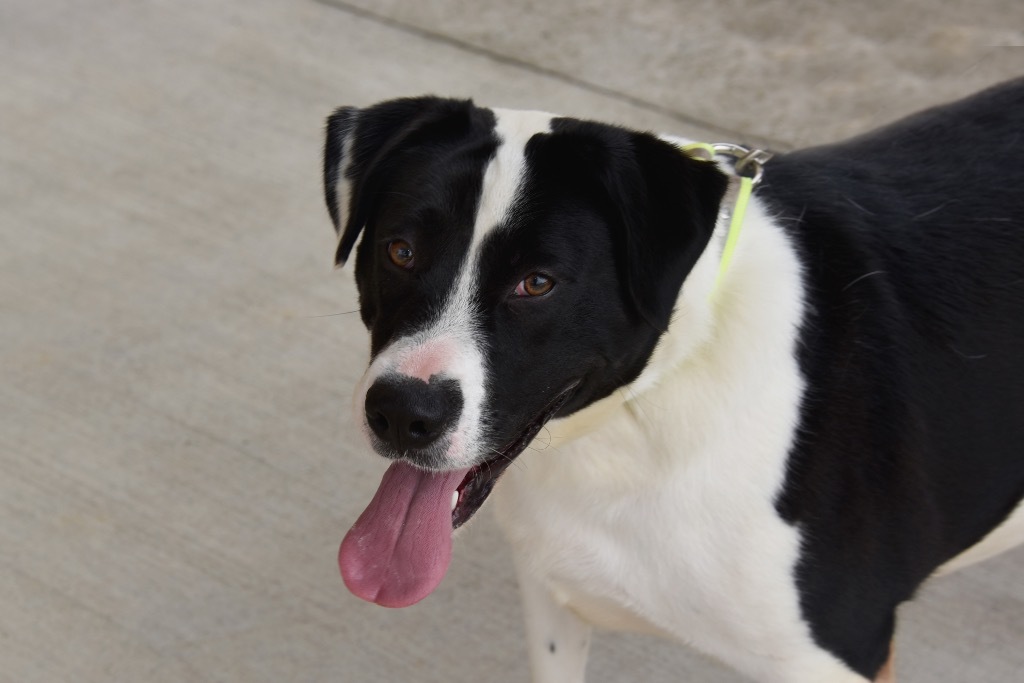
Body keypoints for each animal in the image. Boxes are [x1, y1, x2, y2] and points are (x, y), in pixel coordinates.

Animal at [323, 81, 1024, 683]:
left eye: (538, 282)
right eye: (400, 250)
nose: (403, 413)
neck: (646, 405)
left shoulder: (837, 659)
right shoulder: (552, 602)